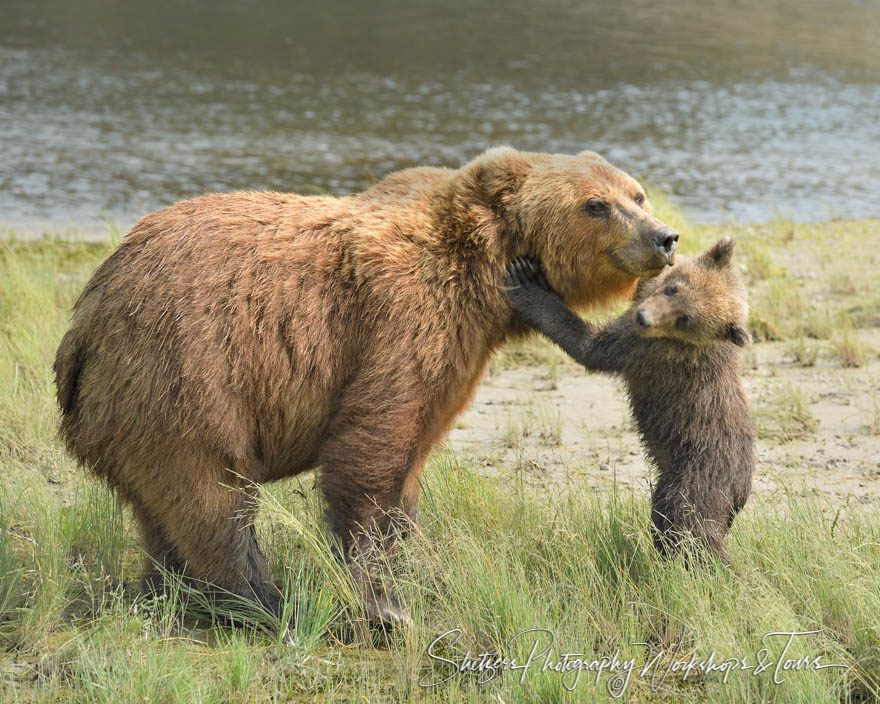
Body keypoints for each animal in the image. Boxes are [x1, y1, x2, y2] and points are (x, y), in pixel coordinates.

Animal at [51, 146, 676, 624]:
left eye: (637, 193)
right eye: (595, 204)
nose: (664, 237)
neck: (481, 281)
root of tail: (87, 314)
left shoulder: (455, 356)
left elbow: (413, 456)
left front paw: (420, 567)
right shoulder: (399, 319)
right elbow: (371, 447)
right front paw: (385, 602)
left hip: (133, 401)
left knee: (161, 506)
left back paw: (170, 590)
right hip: (186, 369)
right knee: (212, 493)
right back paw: (263, 601)